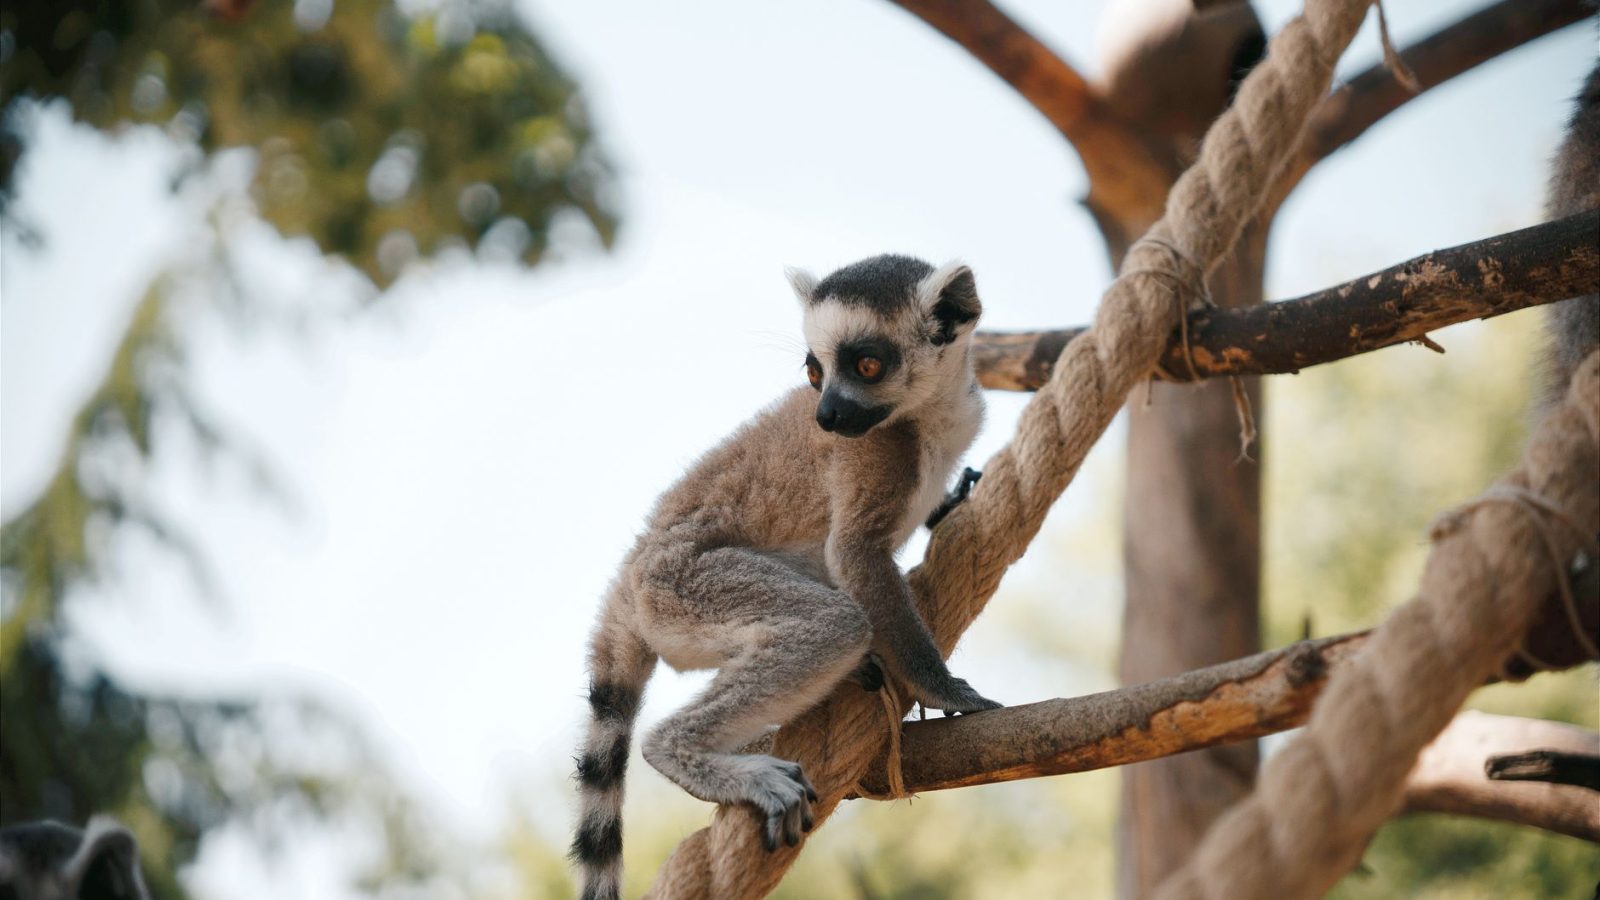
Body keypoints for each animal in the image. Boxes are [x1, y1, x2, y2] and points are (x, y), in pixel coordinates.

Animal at [570, 254, 1001, 900]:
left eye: (866, 364)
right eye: (814, 370)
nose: (826, 416)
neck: (930, 412)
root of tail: (627, 580)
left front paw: (949, 503)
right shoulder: (875, 455)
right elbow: (855, 554)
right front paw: (948, 691)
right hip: (685, 588)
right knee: (833, 623)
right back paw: (688, 752)